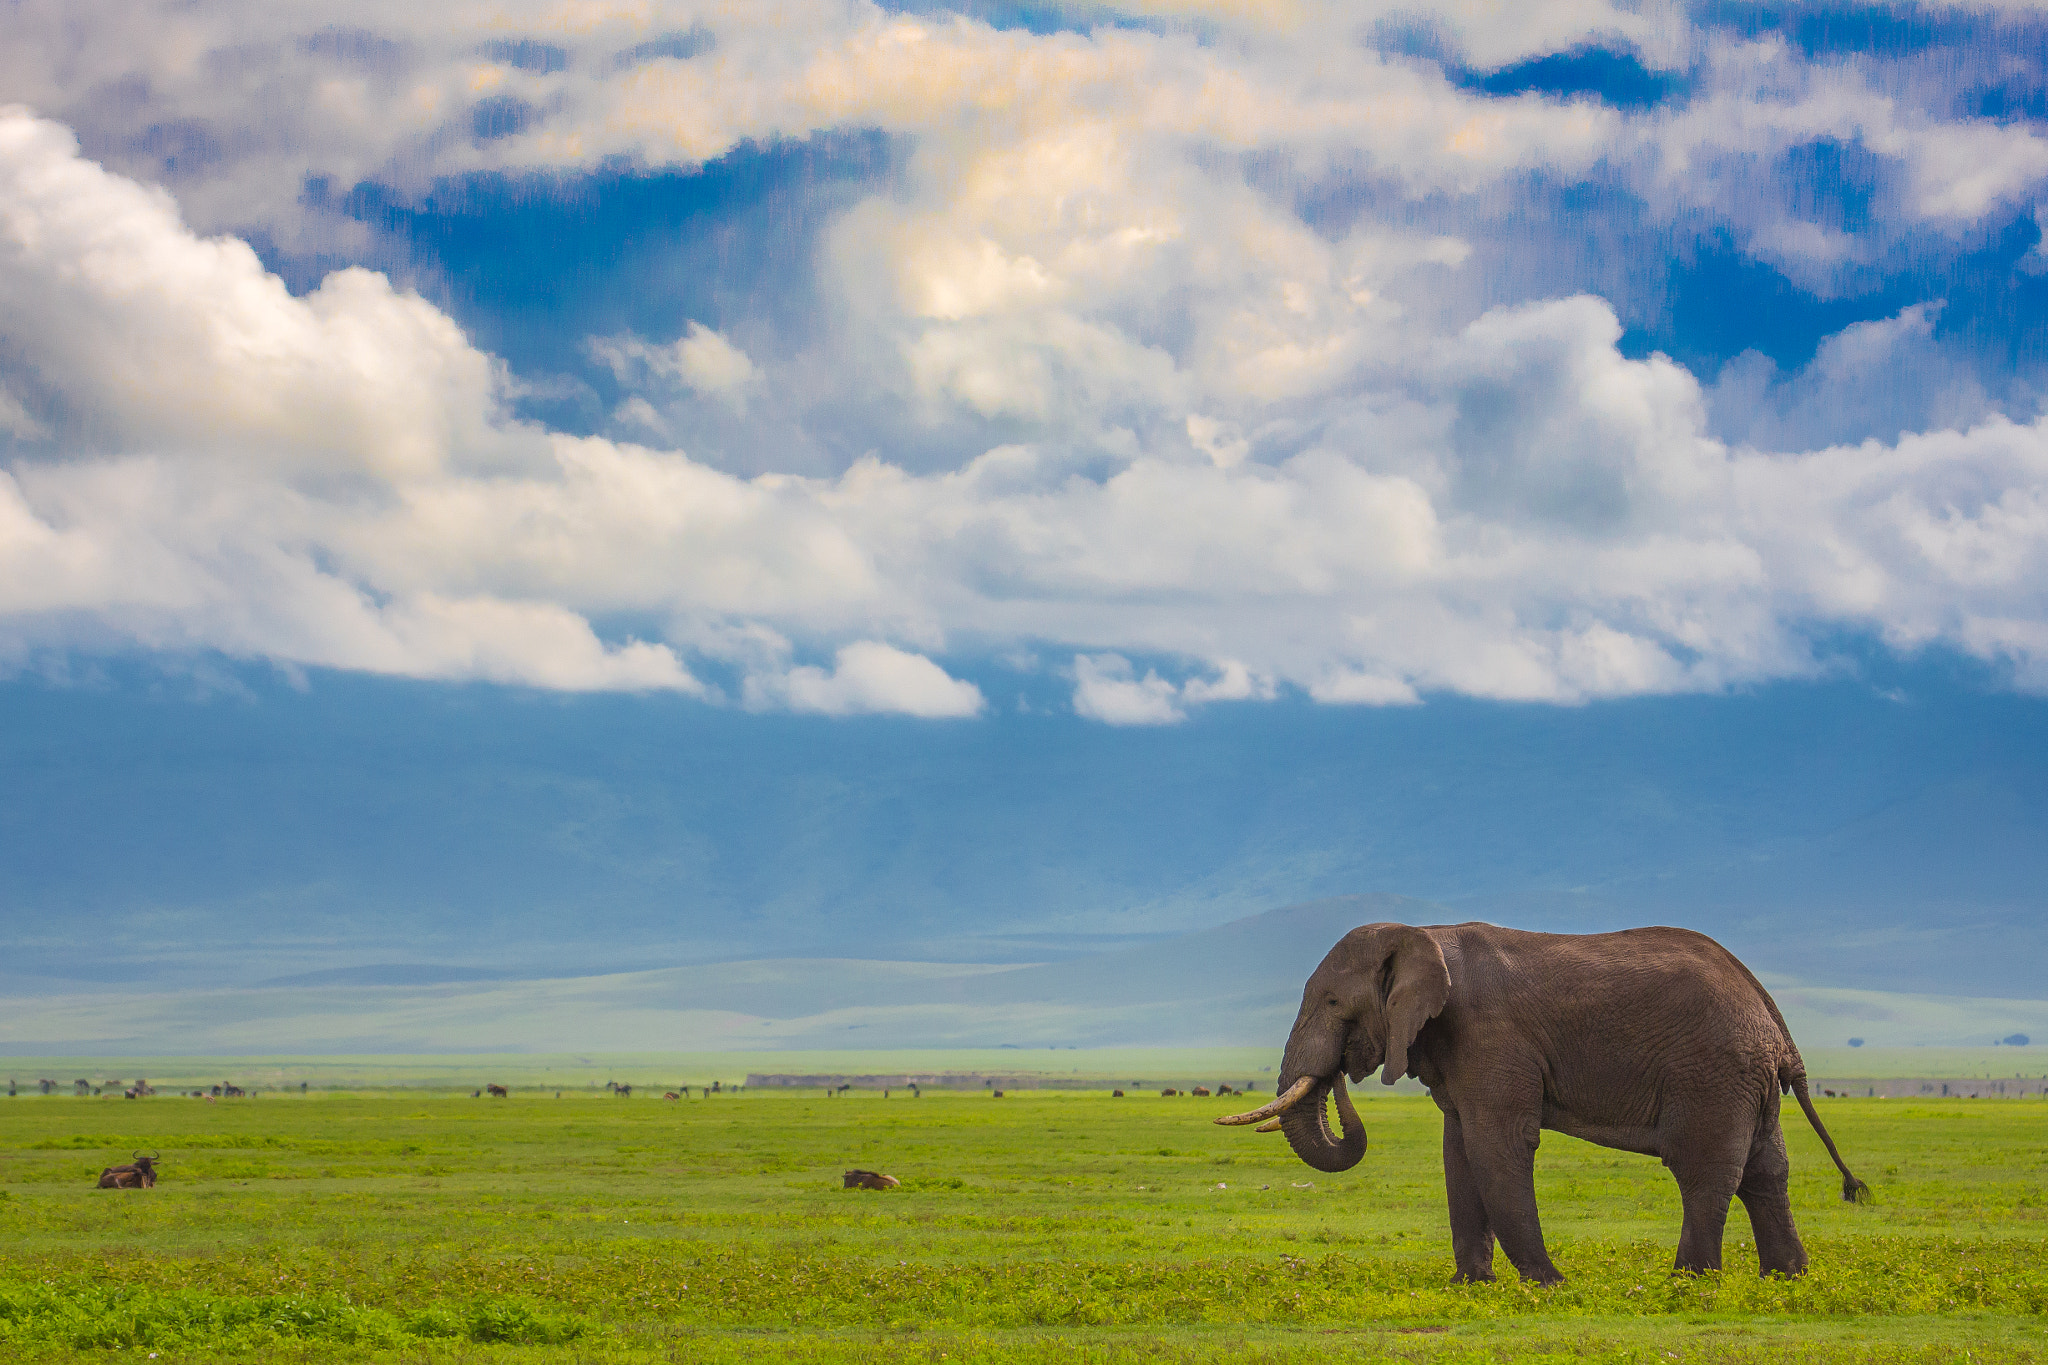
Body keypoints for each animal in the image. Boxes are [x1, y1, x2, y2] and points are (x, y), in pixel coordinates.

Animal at [1216, 922, 1868, 1284]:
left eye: (1331, 1003)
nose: (1343, 1073)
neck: (1424, 933)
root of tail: (1768, 1009)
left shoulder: (1487, 1035)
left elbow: (1496, 1146)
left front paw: (1548, 1285)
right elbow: (1460, 1153)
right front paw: (1471, 1288)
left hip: (1712, 1072)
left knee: (1704, 1170)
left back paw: (1688, 1282)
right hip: (1746, 1080)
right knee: (1766, 1170)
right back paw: (1784, 1279)